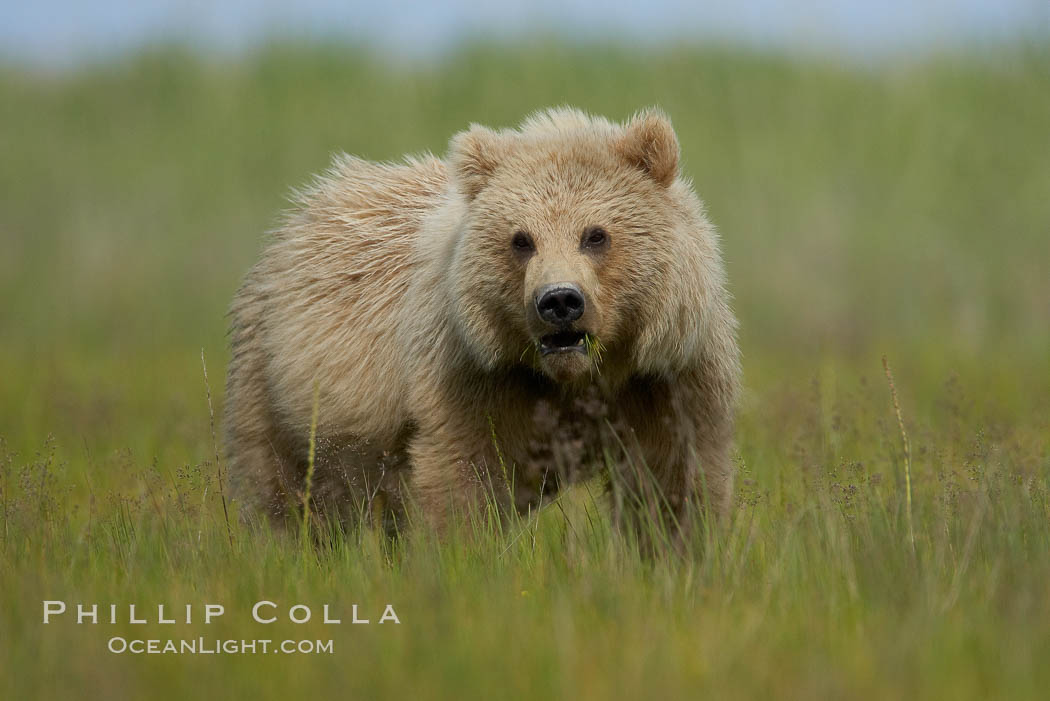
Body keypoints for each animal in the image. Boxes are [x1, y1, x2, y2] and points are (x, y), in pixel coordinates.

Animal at [225, 107, 743, 545]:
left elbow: (672, 482)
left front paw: (678, 552)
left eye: (596, 235)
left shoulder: (665, 380)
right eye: (521, 239)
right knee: (285, 494)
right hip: (277, 390)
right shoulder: (471, 378)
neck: (578, 378)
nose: (559, 301)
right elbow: (463, 480)